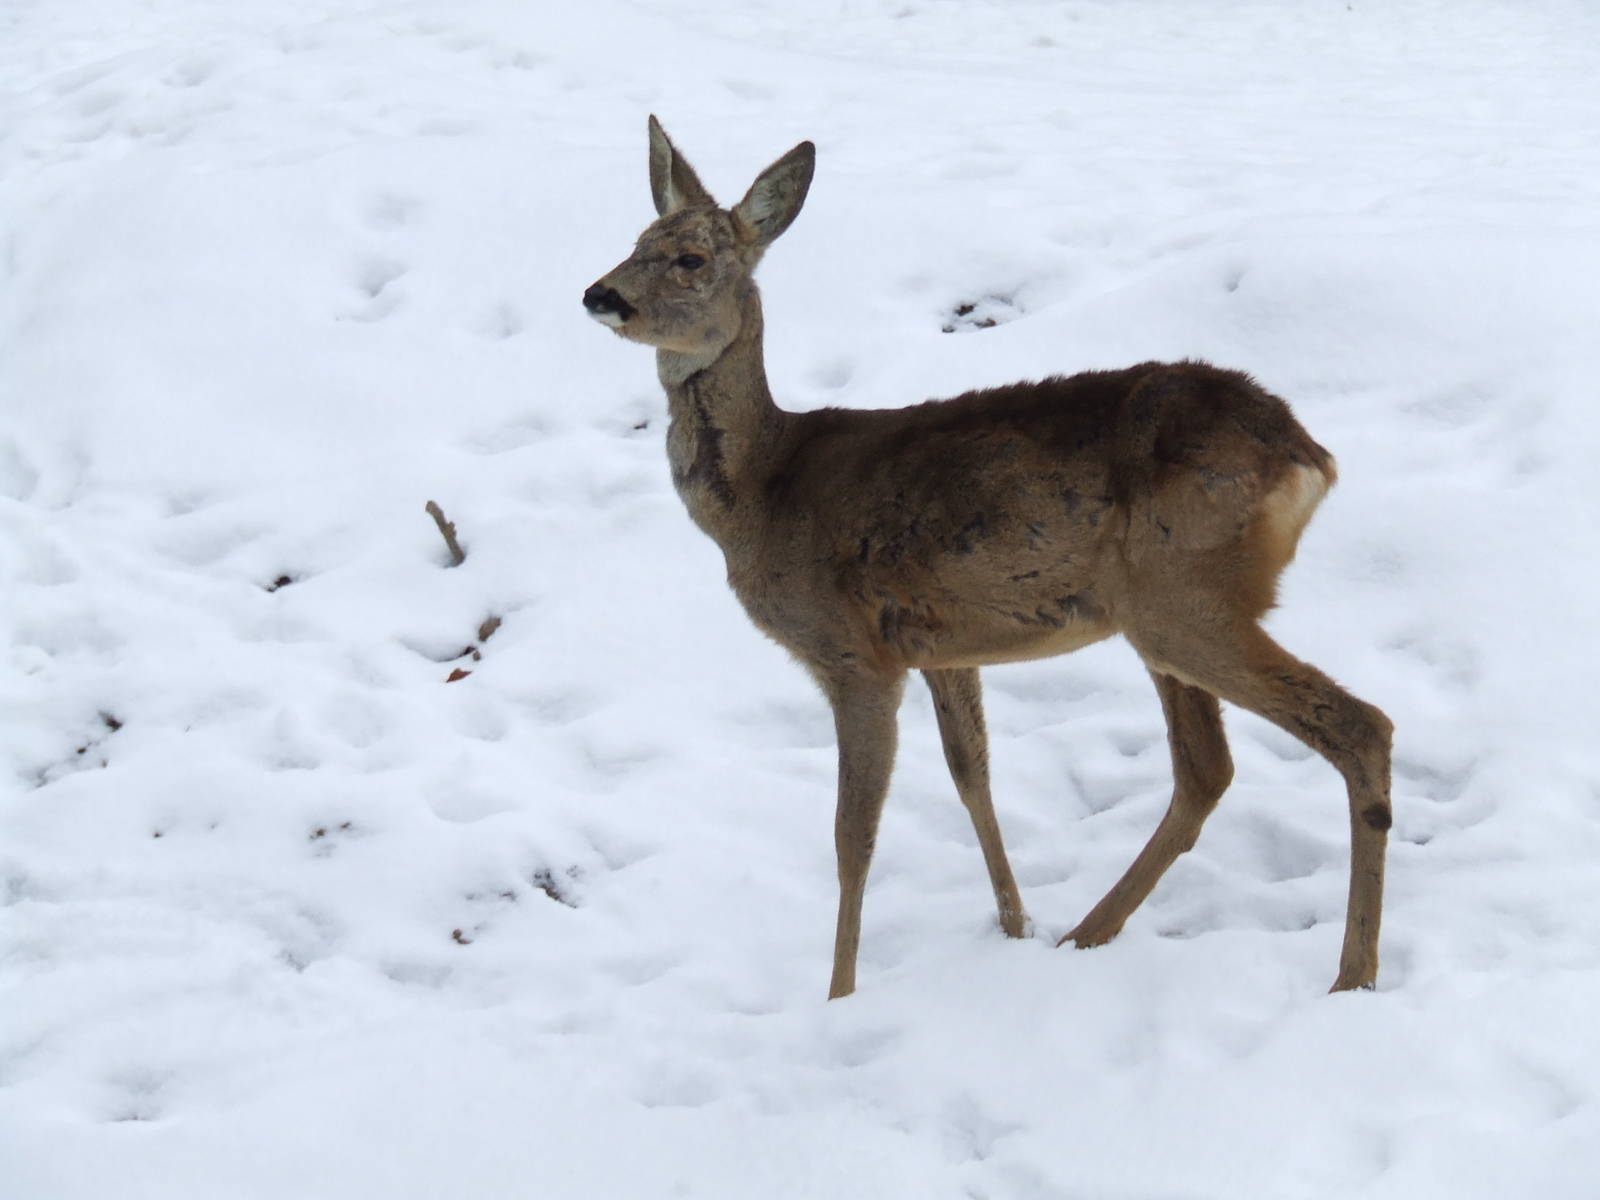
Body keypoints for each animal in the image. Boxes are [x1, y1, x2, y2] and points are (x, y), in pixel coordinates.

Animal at [583, 116, 1392, 1000]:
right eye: (636, 241)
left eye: (691, 258)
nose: (600, 295)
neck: (766, 492)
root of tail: (1308, 453)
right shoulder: (943, 643)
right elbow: (972, 776)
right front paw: (1013, 925)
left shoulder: (855, 655)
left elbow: (852, 835)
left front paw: (839, 994)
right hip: (1166, 610)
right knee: (1205, 769)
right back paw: (1084, 936)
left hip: (1185, 597)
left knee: (1359, 725)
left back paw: (1351, 977)